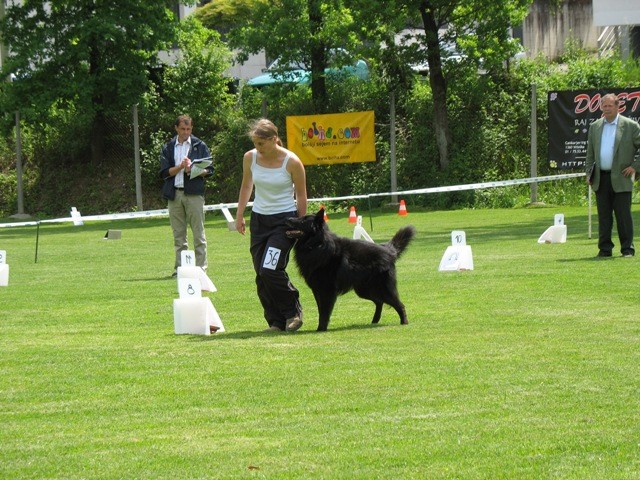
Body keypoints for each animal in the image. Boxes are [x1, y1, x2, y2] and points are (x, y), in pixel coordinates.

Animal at [284, 208, 416, 332]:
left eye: (303, 220)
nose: (287, 219)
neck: (317, 244)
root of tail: (389, 250)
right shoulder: (317, 290)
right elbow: (320, 310)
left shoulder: (327, 291)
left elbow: (324, 312)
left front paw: (321, 329)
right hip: (364, 290)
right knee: (379, 302)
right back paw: (374, 321)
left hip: (382, 289)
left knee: (399, 305)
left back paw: (404, 322)